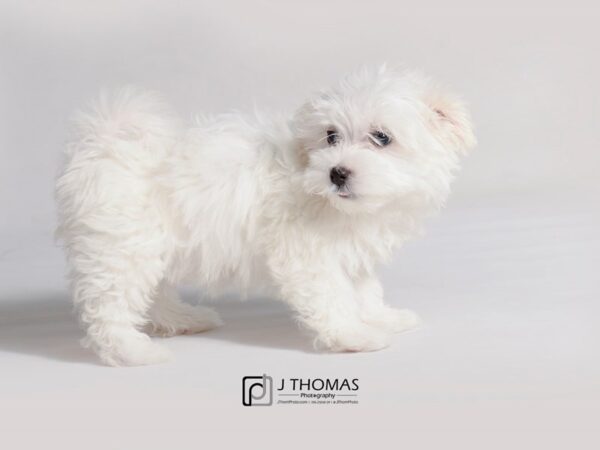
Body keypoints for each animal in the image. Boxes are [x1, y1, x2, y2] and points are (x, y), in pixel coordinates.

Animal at [57, 68, 478, 368]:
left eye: (382, 137)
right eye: (331, 136)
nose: (337, 172)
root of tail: (106, 139)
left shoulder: (350, 250)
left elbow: (363, 289)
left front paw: (381, 317)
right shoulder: (308, 253)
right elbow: (332, 295)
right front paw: (353, 336)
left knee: (153, 290)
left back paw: (182, 318)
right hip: (122, 244)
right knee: (110, 305)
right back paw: (132, 351)